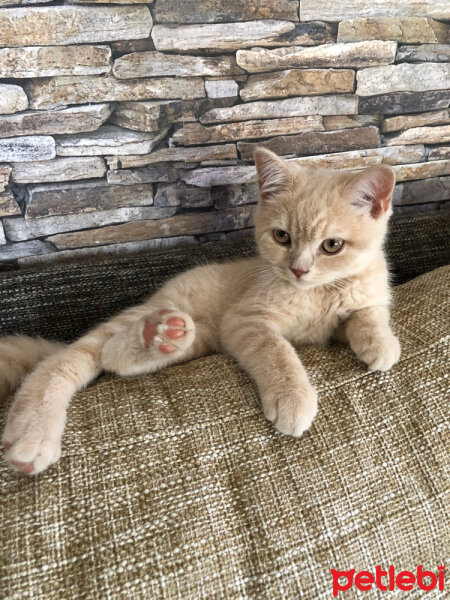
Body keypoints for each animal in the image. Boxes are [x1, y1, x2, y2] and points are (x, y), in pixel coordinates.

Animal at [0, 149, 400, 474]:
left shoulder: (357, 303)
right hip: (171, 311)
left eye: (331, 245)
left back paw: (160, 338)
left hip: (201, 338)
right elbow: (277, 351)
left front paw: (380, 343)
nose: (298, 269)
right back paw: (33, 435)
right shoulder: (244, 321)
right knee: (77, 357)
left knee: (121, 359)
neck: (316, 294)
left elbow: (367, 314)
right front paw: (293, 396)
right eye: (281, 237)